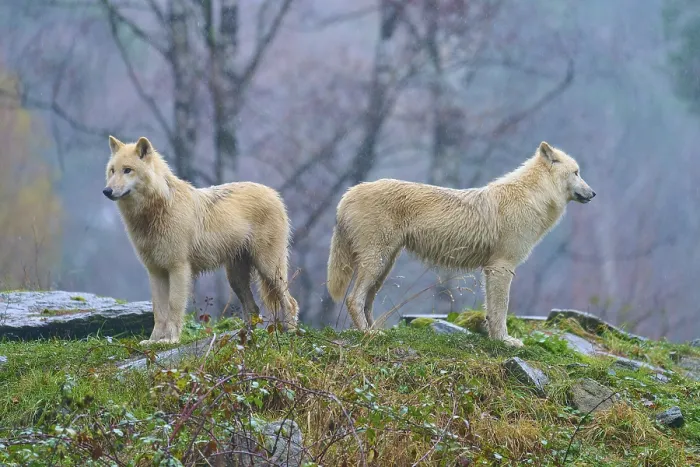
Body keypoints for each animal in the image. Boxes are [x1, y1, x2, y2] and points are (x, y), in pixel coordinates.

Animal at [104, 136, 299, 345]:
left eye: (127, 170)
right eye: (112, 170)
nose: (106, 191)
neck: (156, 210)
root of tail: (273, 193)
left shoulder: (178, 269)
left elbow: (173, 307)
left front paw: (170, 340)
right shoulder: (156, 272)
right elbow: (159, 311)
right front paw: (154, 341)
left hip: (268, 269)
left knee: (290, 302)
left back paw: (290, 333)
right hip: (236, 278)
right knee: (253, 308)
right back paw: (245, 339)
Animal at [326, 141, 595, 347]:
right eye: (577, 172)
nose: (593, 194)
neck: (532, 197)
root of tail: (347, 194)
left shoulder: (492, 269)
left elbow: (491, 310)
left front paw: (495, 339)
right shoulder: (502, 266)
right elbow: (501, 310)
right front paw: (505, 341)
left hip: (384, 266)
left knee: (367, 302)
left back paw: (376, 331)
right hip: (376, 262)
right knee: (353, 299)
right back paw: (368, 334)